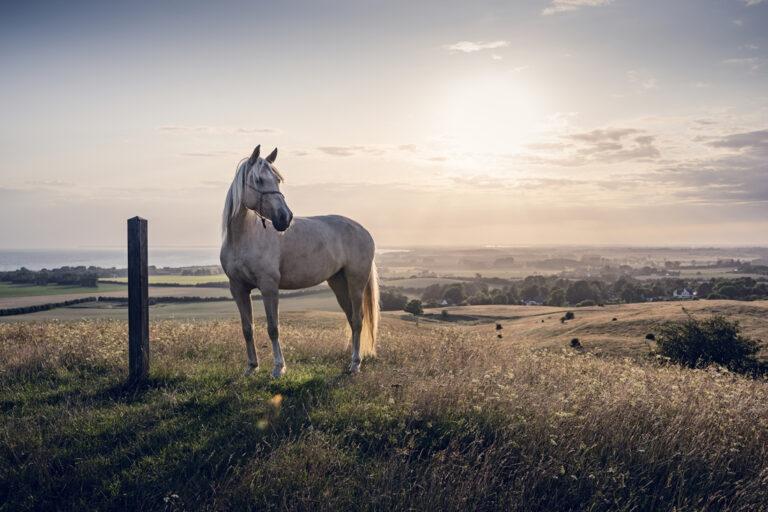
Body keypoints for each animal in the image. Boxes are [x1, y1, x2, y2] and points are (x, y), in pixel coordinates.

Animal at [220, 145, 379, 378]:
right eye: (258, 180)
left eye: (277, 180)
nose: (285, 218)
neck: (244, 238)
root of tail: (364, 231)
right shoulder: (238, 288)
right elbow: (247, 329)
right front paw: (251, 367)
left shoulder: (269, 287)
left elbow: (273, 328)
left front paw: (278, 368)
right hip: (338, 282)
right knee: (351, 318)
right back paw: (351, 359)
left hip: (356, 282)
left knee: (358, 320)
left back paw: (355, 364)